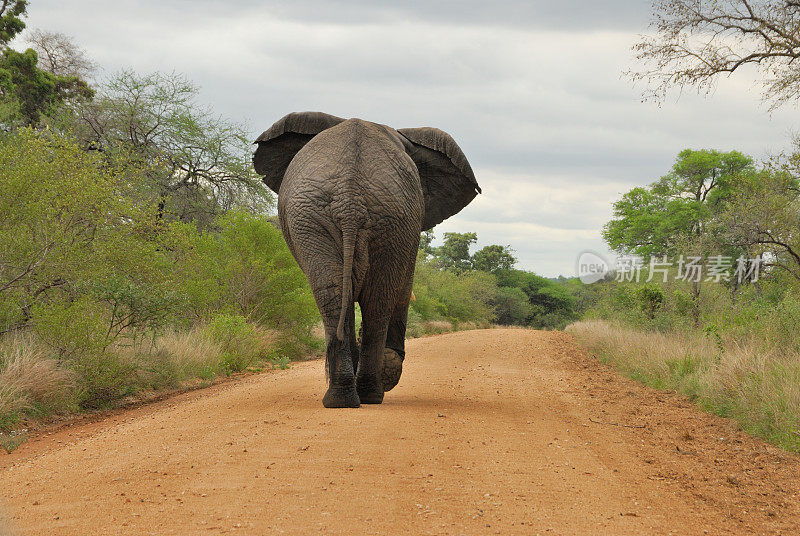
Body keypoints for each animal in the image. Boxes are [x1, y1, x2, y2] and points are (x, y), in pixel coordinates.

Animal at [255, 112, 482, 406]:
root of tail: (349, 197)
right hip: (339, 217)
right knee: (361, 298)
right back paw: (359, 395)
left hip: (374, 218)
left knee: (354, 297)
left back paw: (354, 397)